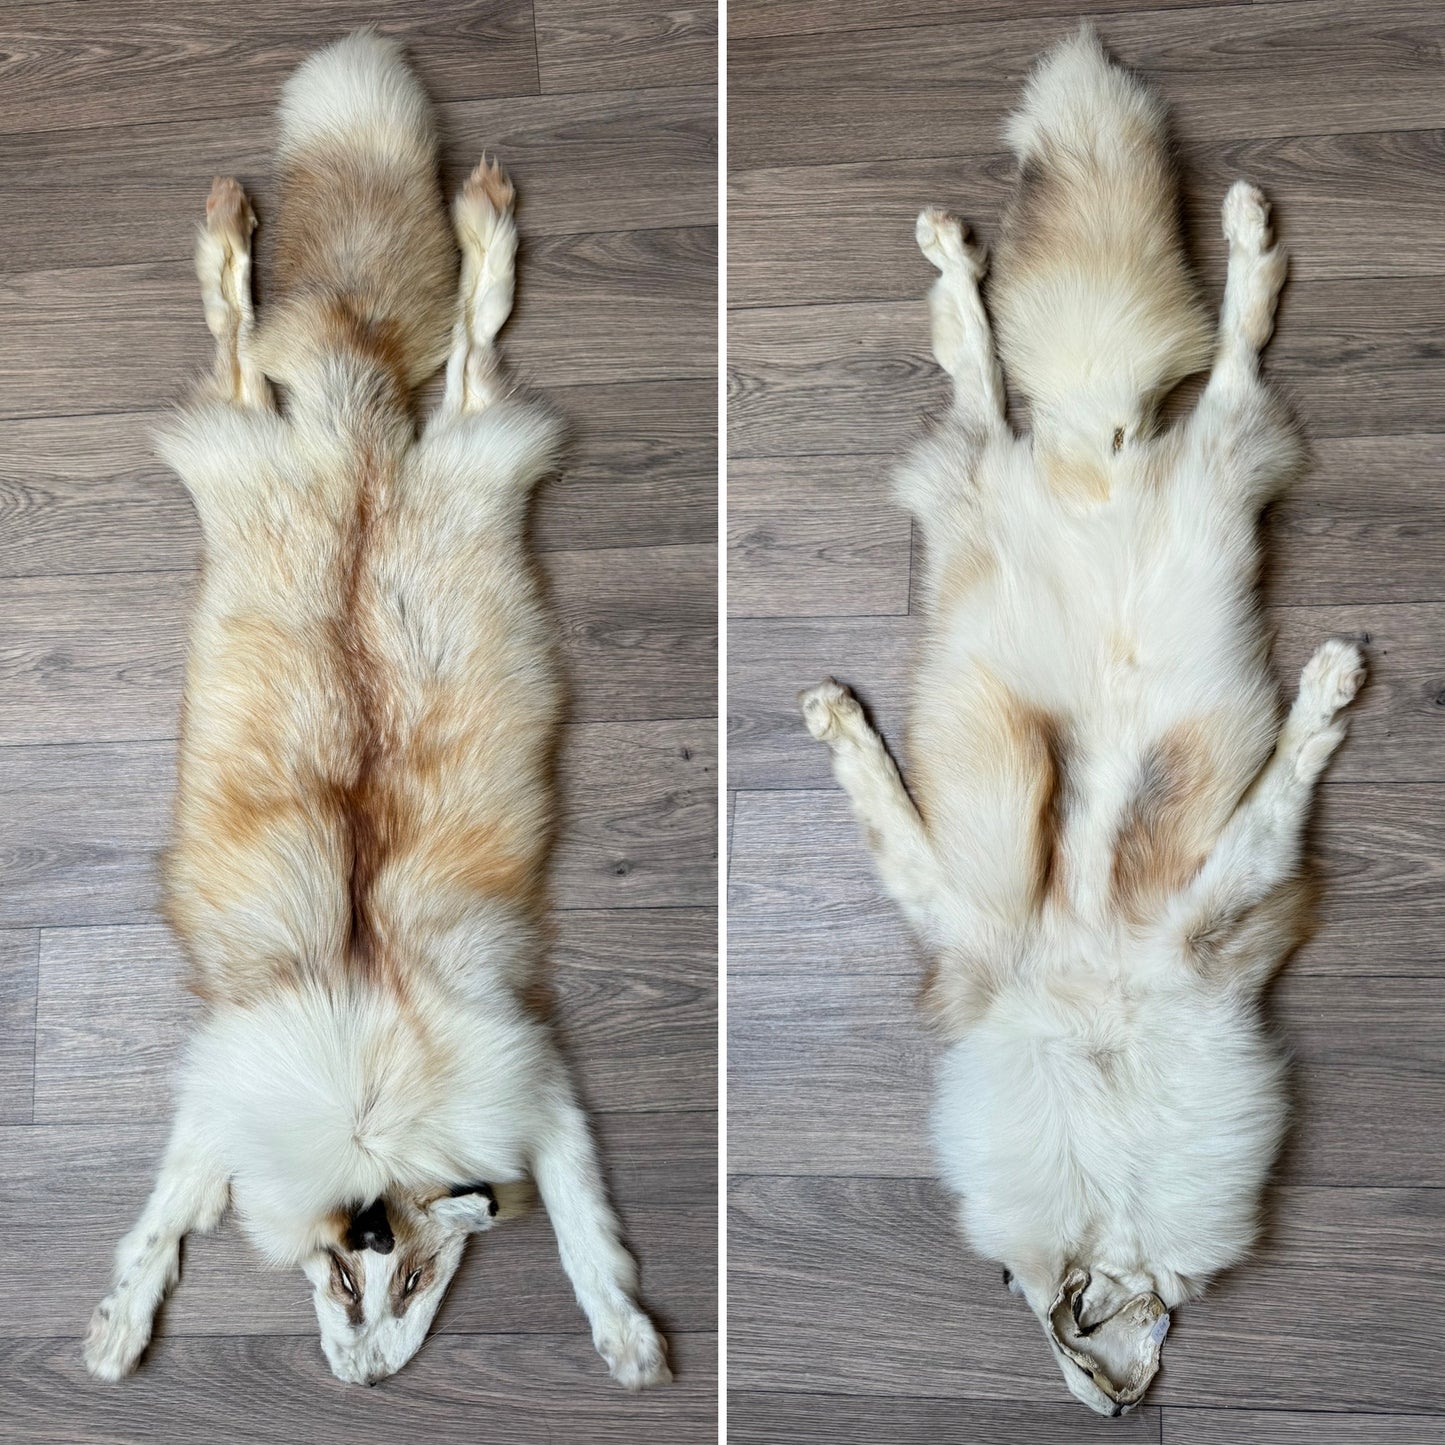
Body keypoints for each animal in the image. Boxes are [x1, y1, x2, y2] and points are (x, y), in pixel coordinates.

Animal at [82, 31, 670, 1391]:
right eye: (345, 1273)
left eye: (410, 1277)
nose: (361, 1379)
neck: (371, 1058)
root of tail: (360, 455)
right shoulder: (226, 1086)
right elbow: (158, 1217)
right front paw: (121, 1323)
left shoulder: (534, 1080)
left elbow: (584, 1231)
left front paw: (622, 1329)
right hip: (293, 447)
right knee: (275, 350)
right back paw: (236, 225)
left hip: (450, 456)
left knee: (462, 352)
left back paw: (473, 221)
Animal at [800, 28, 1364, 1416]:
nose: (1119, 1395)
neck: (1099, 1016)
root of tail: (1094, 453)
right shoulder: (999, 917)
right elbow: (879, 796)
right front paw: (835, 721)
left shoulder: (1205, 906)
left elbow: (1291, 764)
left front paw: (1329, 688)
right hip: (1078, 494)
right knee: (1000, 371)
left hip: (1196, 465)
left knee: (1187, 346)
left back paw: (1227, 229)